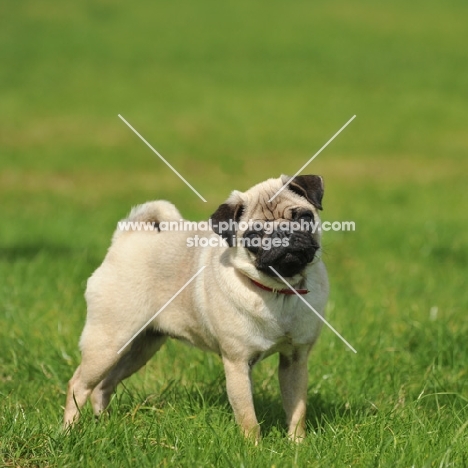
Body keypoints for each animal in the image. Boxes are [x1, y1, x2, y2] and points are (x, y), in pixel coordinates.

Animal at [64, 175, 330, 442]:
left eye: (303, 217)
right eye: (254, 235)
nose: (283, 231)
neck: (281, 291)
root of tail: (125, 239)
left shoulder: (295, 360)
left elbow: (297, 410)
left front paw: (297, 444)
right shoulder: (237, 363)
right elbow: (248, 417)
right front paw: (253, 447)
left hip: (140, 347)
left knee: (103, 386)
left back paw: (104, 424)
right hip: (107, 343)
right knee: (79, 384)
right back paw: (68, 431)